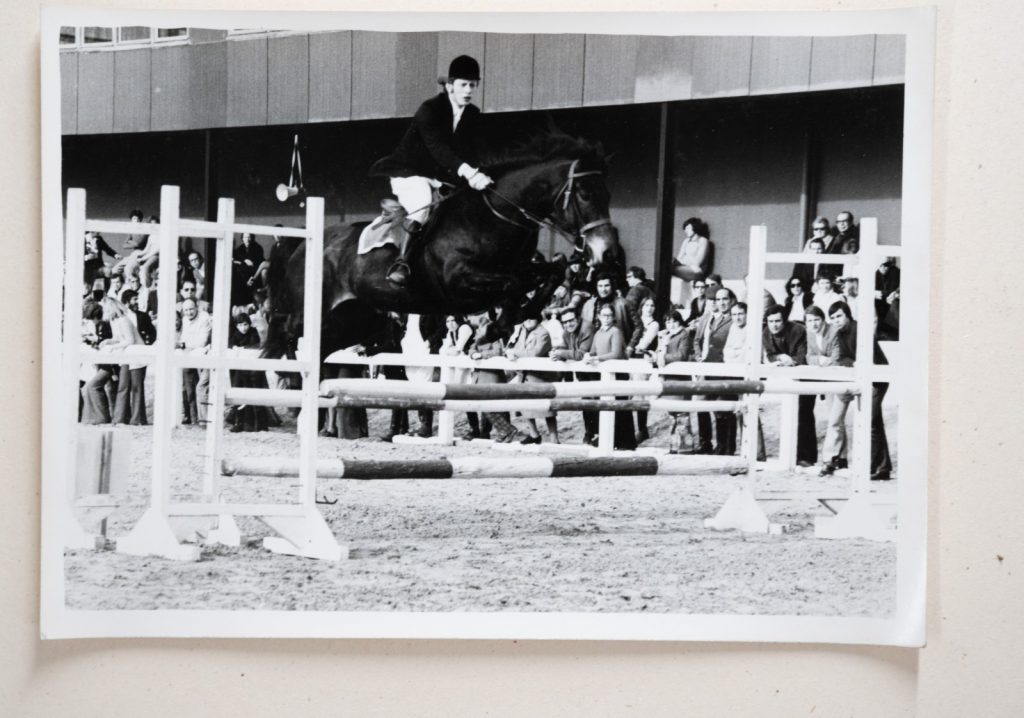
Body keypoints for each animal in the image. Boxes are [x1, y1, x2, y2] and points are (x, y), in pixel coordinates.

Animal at [263, 133, 620, 363]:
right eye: (585, 194)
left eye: (609, 195)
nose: (608, 252)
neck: (494, 215)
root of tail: (303, 244)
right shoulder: (459, 283)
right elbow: (513, 285)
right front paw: (495, 327)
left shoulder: (520, 268)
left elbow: (551, 271)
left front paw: (506, 322)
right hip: (308, 311)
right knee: (286, 331)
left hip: (357, 318)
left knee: (322, 347)